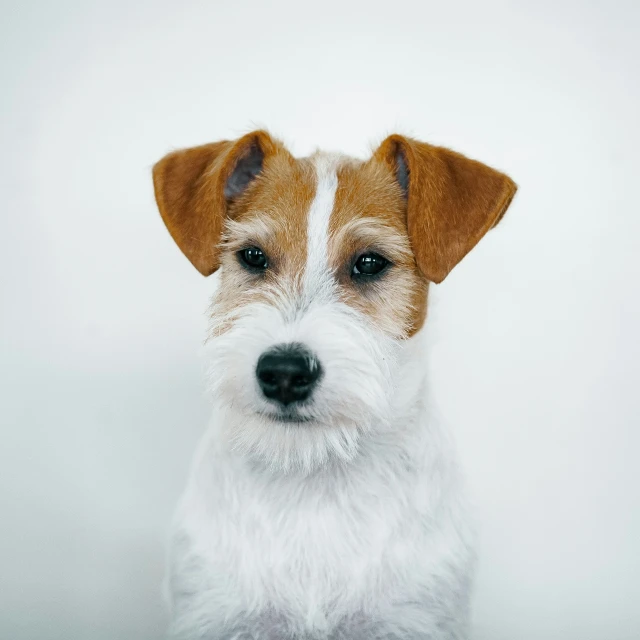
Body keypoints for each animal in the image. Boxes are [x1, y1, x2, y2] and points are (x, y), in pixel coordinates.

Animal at [152, 131, 516, 640]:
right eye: (253, 256)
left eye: (370, 262)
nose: (284, 372)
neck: (314, 476)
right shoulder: (213, 614)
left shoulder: (417, 618)